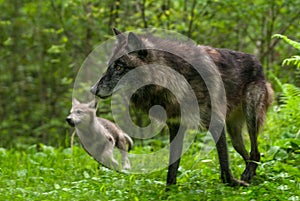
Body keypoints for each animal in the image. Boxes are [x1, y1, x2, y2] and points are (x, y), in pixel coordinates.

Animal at [89, 28, 274, 187]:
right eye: (109, 66)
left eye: (119, 67)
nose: (93, 89)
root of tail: (257, 62)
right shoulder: (176, 126)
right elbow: (172, 168)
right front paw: (168, 192)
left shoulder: (215, 122)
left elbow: (224, 165)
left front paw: (232, 183)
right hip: (234, 134)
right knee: (250, 154)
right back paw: (251, 177)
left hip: (250, 117)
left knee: (255, 152)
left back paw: (247, 177)